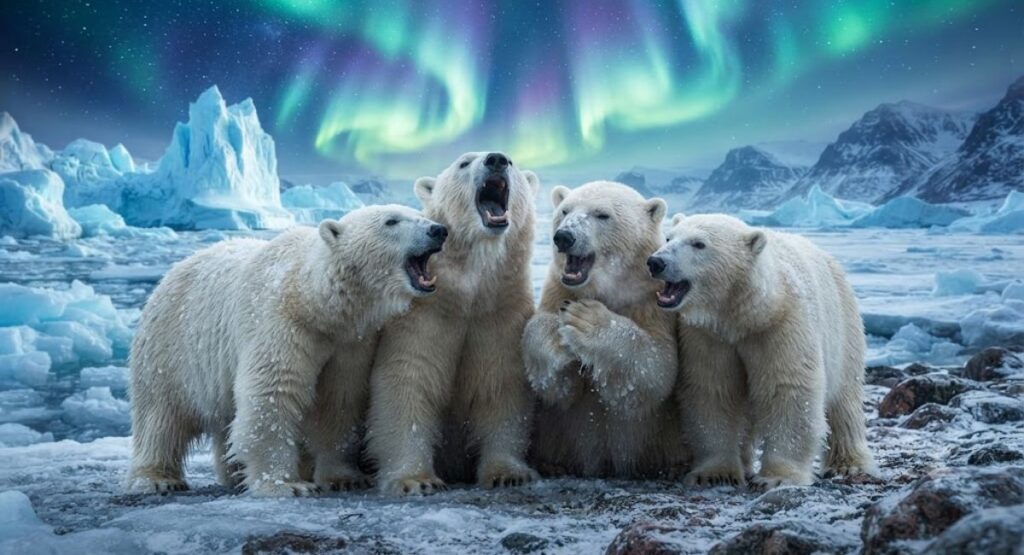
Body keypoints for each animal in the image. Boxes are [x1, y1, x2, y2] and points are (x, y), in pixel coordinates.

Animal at [126, 205, 448, 497]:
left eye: (420, 214)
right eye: (391, 221)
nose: (438, 230)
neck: (314, 301)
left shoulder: (351, 343)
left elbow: (338, 401)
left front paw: (344, 478)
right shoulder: (280, 323)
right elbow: (273, 393)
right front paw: (286, 484)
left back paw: (234, 474)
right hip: (171, 347)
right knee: (161, 415)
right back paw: (158, 478)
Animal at [365, 151, 539, 495]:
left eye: (512, 163)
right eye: (464, 163)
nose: (497, 159)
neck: (468, 296)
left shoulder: (500, 315)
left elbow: (501, 386)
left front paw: (508, 473)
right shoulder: (425, 317)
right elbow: (408, 381)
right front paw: (415, 480)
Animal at [521, 181, 688, 478]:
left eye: (602, 215)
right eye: (565, 210)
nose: (564, 237)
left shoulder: (651, 303)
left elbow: (656, 369)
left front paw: (585, 320)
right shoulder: (558, 288)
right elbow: (557, 388)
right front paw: (557, 337)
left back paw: (675, 467)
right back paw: (550, 465)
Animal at [646, 213, 876, 489]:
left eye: (699, 244)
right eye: (669, 237)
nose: (656, 262)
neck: (747, 316)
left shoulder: (782, 327)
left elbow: (788, 389)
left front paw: (777, 477)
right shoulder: (709, 337)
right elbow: (713, 390)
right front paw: (715, 473)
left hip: (844, 325)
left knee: (844, 401)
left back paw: (848, 464)